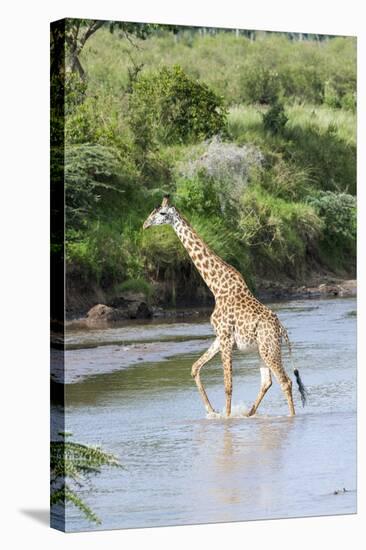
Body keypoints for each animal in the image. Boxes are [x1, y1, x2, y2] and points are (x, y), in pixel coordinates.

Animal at [143, 197, 306, 418]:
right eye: (152, 212)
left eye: (161, 213)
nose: (145, 225)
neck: (216, 286)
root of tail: (282, 330)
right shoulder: (221, 336)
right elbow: (195, 367)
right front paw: (212, 411)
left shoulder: (227, 338)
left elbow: (228, 385)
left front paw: (226, 418)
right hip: (261, 350)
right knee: (267, 382)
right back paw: (249, 414)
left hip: (269, 348)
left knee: (285, 382)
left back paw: (290, 417)